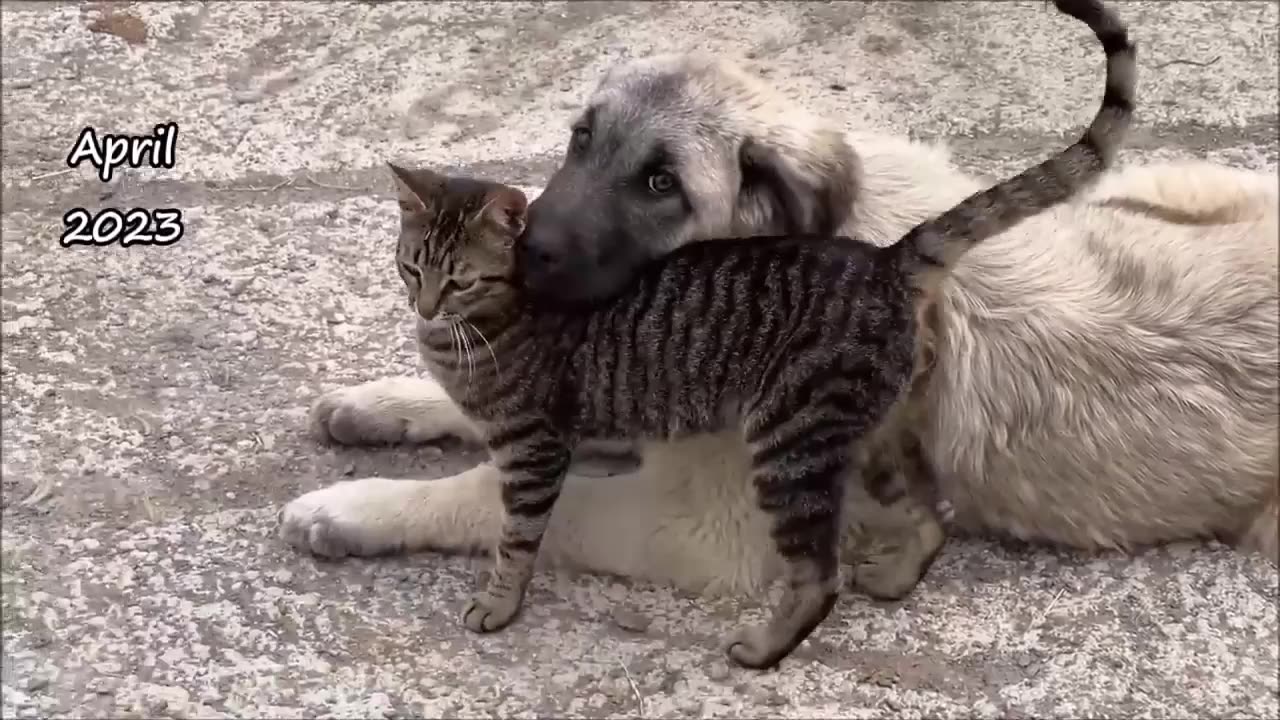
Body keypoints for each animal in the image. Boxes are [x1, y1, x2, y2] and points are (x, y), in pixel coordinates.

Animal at [282, 50, 1280, 597]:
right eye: (580, 138)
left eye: (661, 184)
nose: (520, 259)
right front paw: (386, 403)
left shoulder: (702, 527)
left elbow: (495, 492)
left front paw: (357, 509)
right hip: (1153, 185)